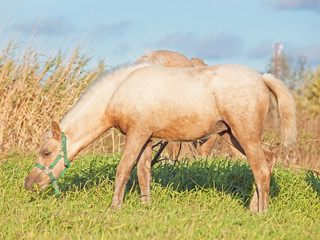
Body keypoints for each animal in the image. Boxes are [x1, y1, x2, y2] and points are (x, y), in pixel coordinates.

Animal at [25, 62, 298, 213]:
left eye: (46, 152)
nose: (29, 184)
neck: (119, 91)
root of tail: (261, 78)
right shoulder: (146, 138)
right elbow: (143, 171)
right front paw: (145, 205)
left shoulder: (136, 134)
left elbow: (124, 169)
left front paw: (115, 207)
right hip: (233, 136)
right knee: (268, 161)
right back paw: (253, 208)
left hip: (245, 134)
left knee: (260, 169)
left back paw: (262, 212)